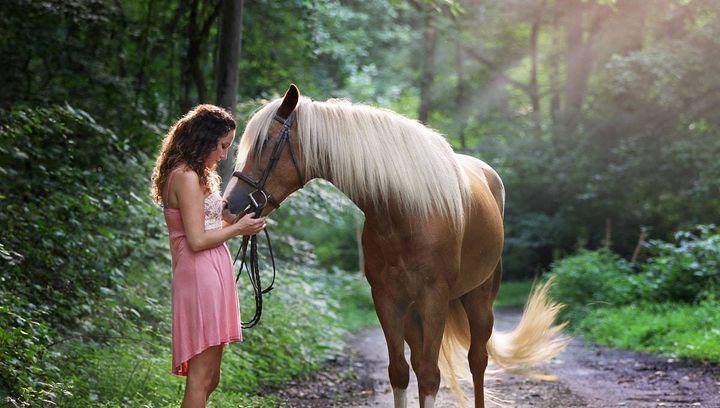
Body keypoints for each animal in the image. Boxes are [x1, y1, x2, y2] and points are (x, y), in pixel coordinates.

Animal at [222, 84, 564, 406]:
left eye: (266, 143)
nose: (230, 206)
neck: (404, 213)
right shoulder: (387, 299)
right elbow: (399, 371)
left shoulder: (434, 298)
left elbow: (431, 374)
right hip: (413, 313)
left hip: (479, 298)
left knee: (476, 360)